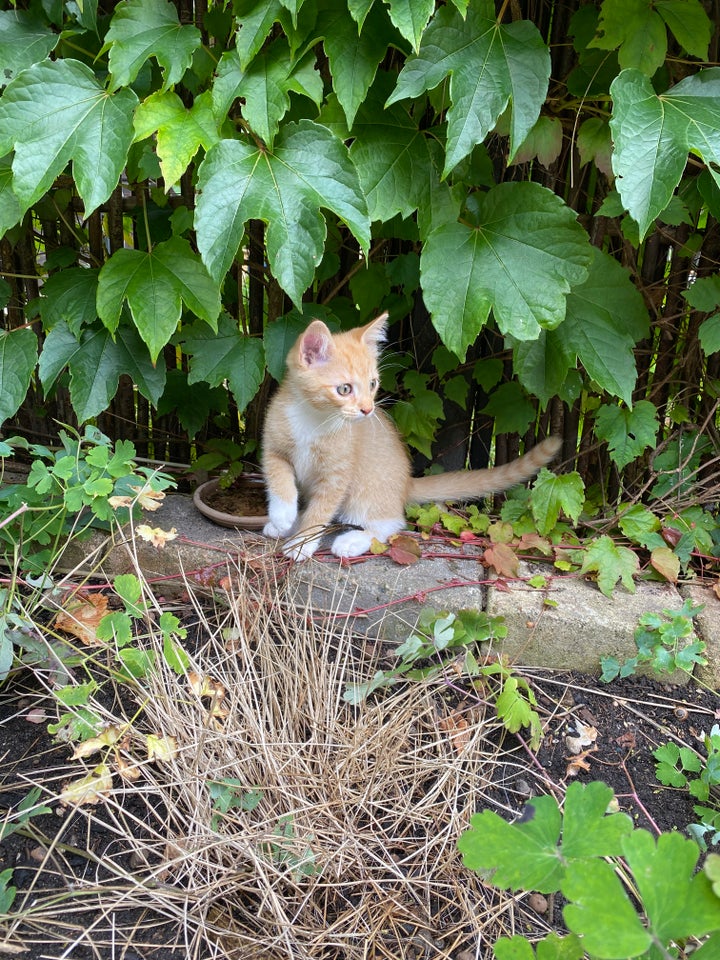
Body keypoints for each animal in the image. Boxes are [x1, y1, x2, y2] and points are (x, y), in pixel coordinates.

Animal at [262, 312, 560, 560]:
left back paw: (352, 541)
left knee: (390, 522)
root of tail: (405, 483)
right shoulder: (273, 444)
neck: (314, 418)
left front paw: (302, 542)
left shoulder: (337, 475)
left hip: (368, 489)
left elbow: (321, 511)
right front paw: (283, 515)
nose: (368, 409)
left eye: (372, 384)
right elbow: (278, 477)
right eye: (344, 389)